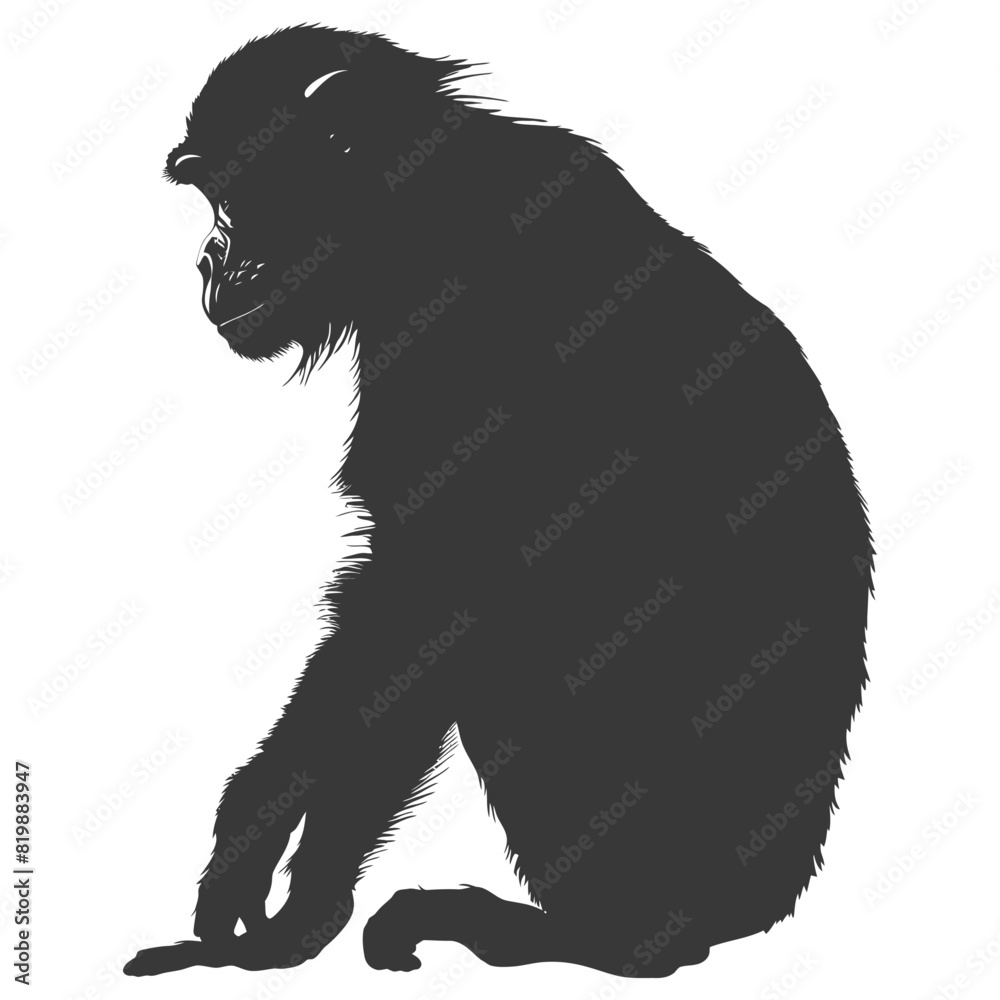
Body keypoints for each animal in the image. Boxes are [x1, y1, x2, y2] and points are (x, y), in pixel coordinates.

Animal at [125, 25, 872, 979]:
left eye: (236, 190)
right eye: (205, 191)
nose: (211, 257)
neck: (407, 203)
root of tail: (770, 898)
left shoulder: (459, 313)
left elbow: (430, 596)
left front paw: (279, 868)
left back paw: (580, 932)